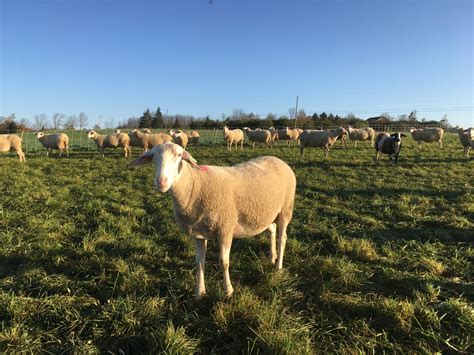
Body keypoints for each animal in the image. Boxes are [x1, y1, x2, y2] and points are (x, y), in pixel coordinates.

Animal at [131, 143, 296, 298]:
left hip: (286, 209)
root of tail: (277, 159)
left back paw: (278, 267)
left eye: (179, 155)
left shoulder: (225, 230)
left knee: (283, 238)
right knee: (272, 230)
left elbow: (224, 262)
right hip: (266, 213)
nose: (161, 182)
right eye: (153, 156)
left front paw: (228, 291)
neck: (195, 185)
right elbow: (199, 262)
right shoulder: (197, 233)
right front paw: (199, 292)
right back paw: (272, 258)